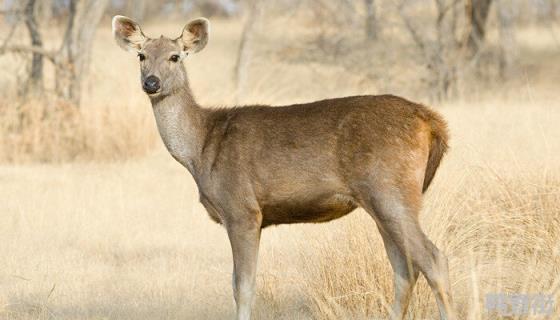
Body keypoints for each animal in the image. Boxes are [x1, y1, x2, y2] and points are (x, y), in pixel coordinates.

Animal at [112, 16, 456, 320]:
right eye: (142, 55)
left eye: (175, 56)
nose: (151, 83)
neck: (201, 149)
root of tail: (431, 122)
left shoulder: (242, 209)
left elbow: (243, 287)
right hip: (382, 200)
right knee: (404, 269)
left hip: (389, 189)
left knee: (433, 260)